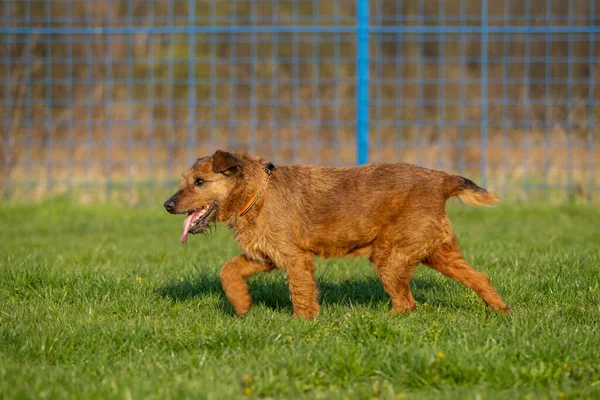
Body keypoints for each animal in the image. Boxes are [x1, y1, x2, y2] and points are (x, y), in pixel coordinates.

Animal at [165, 150, 510, 318]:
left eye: (199, 181)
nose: (167, 205)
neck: (256, 193)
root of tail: (442, 180)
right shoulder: (264, 255)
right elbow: (228, 270)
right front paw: (241, 305)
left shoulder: (295, 259)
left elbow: (302, 293)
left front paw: (302, 323)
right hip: (436, 252)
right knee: (479, 277)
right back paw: (501, 311)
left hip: (390, 256)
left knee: (407, 303)